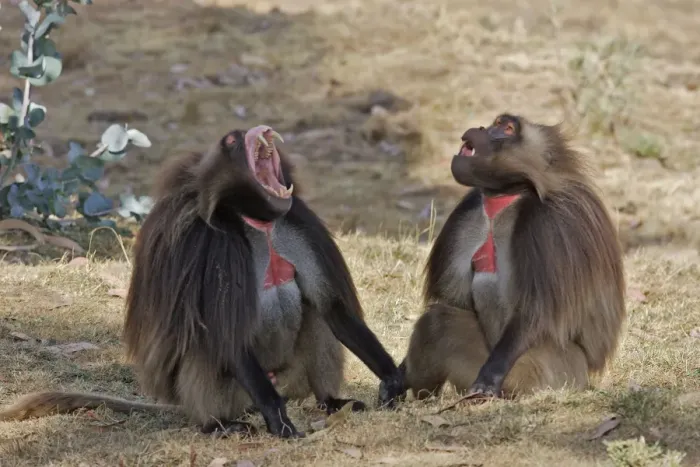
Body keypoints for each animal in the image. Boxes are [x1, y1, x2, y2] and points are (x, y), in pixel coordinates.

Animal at [0, 125, 406, 438]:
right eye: (231, 140)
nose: (254, 129)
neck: (256, 222)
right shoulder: (214, 243)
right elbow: (226, 332)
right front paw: (278, 420)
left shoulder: (297, 224)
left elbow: (333, 309)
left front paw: (393, 379)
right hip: (237, 394)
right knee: (206, 342)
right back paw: (219, 425)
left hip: (293, 382)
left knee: (317, 318)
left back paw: (331, 402)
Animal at [386, 113, 626, 401]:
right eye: (495, 123)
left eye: (507, 128)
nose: (481, 128)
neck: (509, 194)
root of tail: (586, 374)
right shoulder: (468, 213)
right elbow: (456, 301)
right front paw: (396, 377)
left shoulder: (548, 225)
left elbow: (533, 315)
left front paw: (488, 380)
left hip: (549, 372)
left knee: (438, 323)